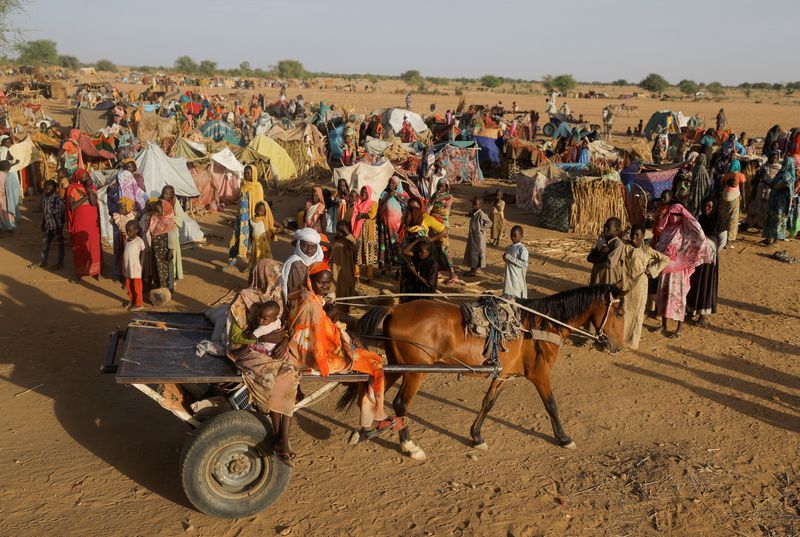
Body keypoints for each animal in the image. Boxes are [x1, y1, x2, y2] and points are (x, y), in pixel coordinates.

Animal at [354, 284, 628, 460]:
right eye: (620, 312)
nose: (617, 347)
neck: (541, 324)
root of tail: (395, 310)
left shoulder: (503, 375)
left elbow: (488, 403)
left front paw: (476, 436)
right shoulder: (540, 374)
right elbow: (551, 405)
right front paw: (564, 438)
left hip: (396, 365)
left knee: (371, 392)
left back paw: (364, 430)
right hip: (415, 372)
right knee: (400, 403)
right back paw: (410, 447)